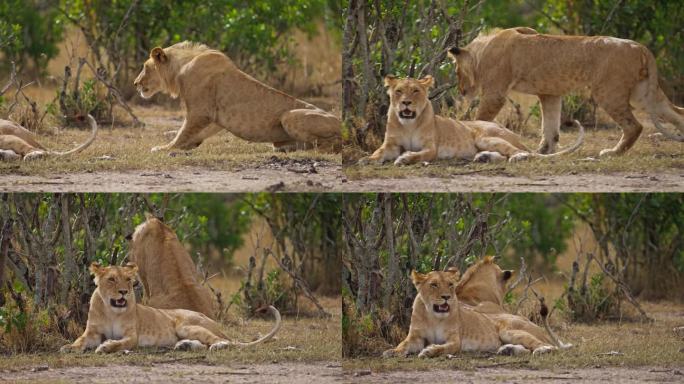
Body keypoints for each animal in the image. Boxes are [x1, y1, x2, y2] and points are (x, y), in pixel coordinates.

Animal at [60, 262, 280, 352]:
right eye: (112, 279)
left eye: (128, 280)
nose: (123, 292)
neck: (111, 310)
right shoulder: (92, 333)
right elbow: (80, 340)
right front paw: (68, 347)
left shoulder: (132, 336)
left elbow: (120, 343)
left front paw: (105, 347)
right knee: (206, 343)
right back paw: (184, 346)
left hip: (184, 325)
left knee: (224, 341)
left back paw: (216, 345)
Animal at [130, 42, 340, 154]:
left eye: (146, 67)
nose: (135, 83)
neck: (180, 68)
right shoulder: (214, 117)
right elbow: (197, 133)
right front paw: (188, 145)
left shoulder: (200, 111)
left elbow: (183, 131)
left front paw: (166, 148)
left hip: (289, 116)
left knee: (333, 143)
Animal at [358, 74, 584, 165]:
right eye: (398, 91)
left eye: (415, 91)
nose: (406, 103)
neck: (409, 124)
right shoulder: (390, 145)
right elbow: (379, 152)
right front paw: (366, 160)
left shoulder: (431, 148)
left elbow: (418, 155)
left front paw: (404, 158)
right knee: (504, 155)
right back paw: (484, 158)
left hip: (484, 137)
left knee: (518, 152)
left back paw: (517, 156)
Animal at [382, 268, 568, 358]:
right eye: (434, 285)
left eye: (450, 284)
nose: (446, 297)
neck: (432, 316)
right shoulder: (415, 337)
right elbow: (403, 345)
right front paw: (392, 352)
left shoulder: (455, 341)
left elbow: (443, 348)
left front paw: (429, 351)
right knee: (527, 349)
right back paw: (507, 350)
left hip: (508, 330)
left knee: (547, 347)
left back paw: (541, 350)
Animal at [448, 26, 684, 156]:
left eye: (456, 72)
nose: (461, 91)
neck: (484, 50)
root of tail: (639, 46)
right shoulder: (550, 94)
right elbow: (550, 126)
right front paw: (543, 151)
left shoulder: (495, 93)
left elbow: (481, 117)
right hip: (643, 94)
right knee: (677, 113)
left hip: (609, 92)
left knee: (634, 126)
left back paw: (612, 153)